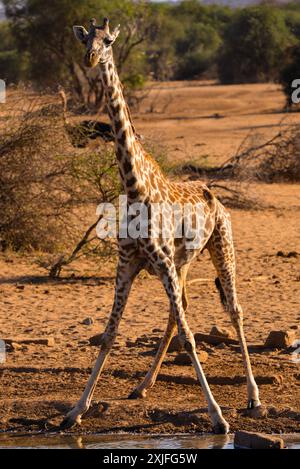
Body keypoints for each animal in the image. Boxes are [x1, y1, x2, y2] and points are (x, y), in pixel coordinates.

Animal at [61, 17, 262, 436]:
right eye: (85, 40)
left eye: (108, 41)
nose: (90, 58)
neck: (135, 187)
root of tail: (215, 195)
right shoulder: (128, 263)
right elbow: (108, 335)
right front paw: (75, 411)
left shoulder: (162, 262)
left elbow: (189, 335)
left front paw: (218, 417)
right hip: (182, 263)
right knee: (179, 310)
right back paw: (142, 386)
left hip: (221, 248)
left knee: (233, 309)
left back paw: (253, 396)